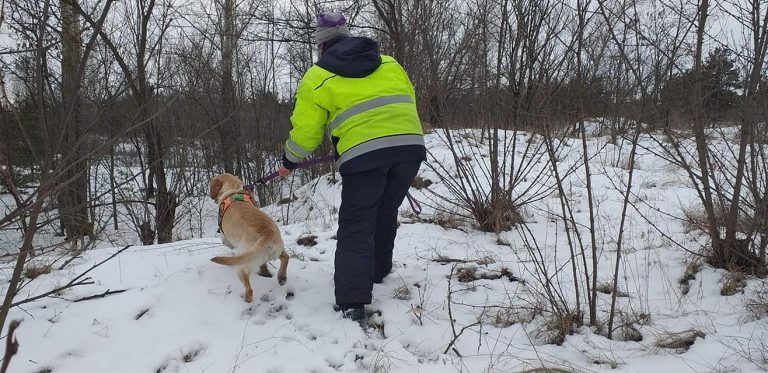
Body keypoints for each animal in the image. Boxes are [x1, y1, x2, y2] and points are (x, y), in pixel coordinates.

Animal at [207, 172, 288, 302]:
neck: (234, 189)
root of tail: (266, 236)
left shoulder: (224, 235)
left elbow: (225, 241)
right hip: (276, 251)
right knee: (286, 257)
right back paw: (282, 277)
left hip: (242, 262)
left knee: (249, 288)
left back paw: (246, 300)